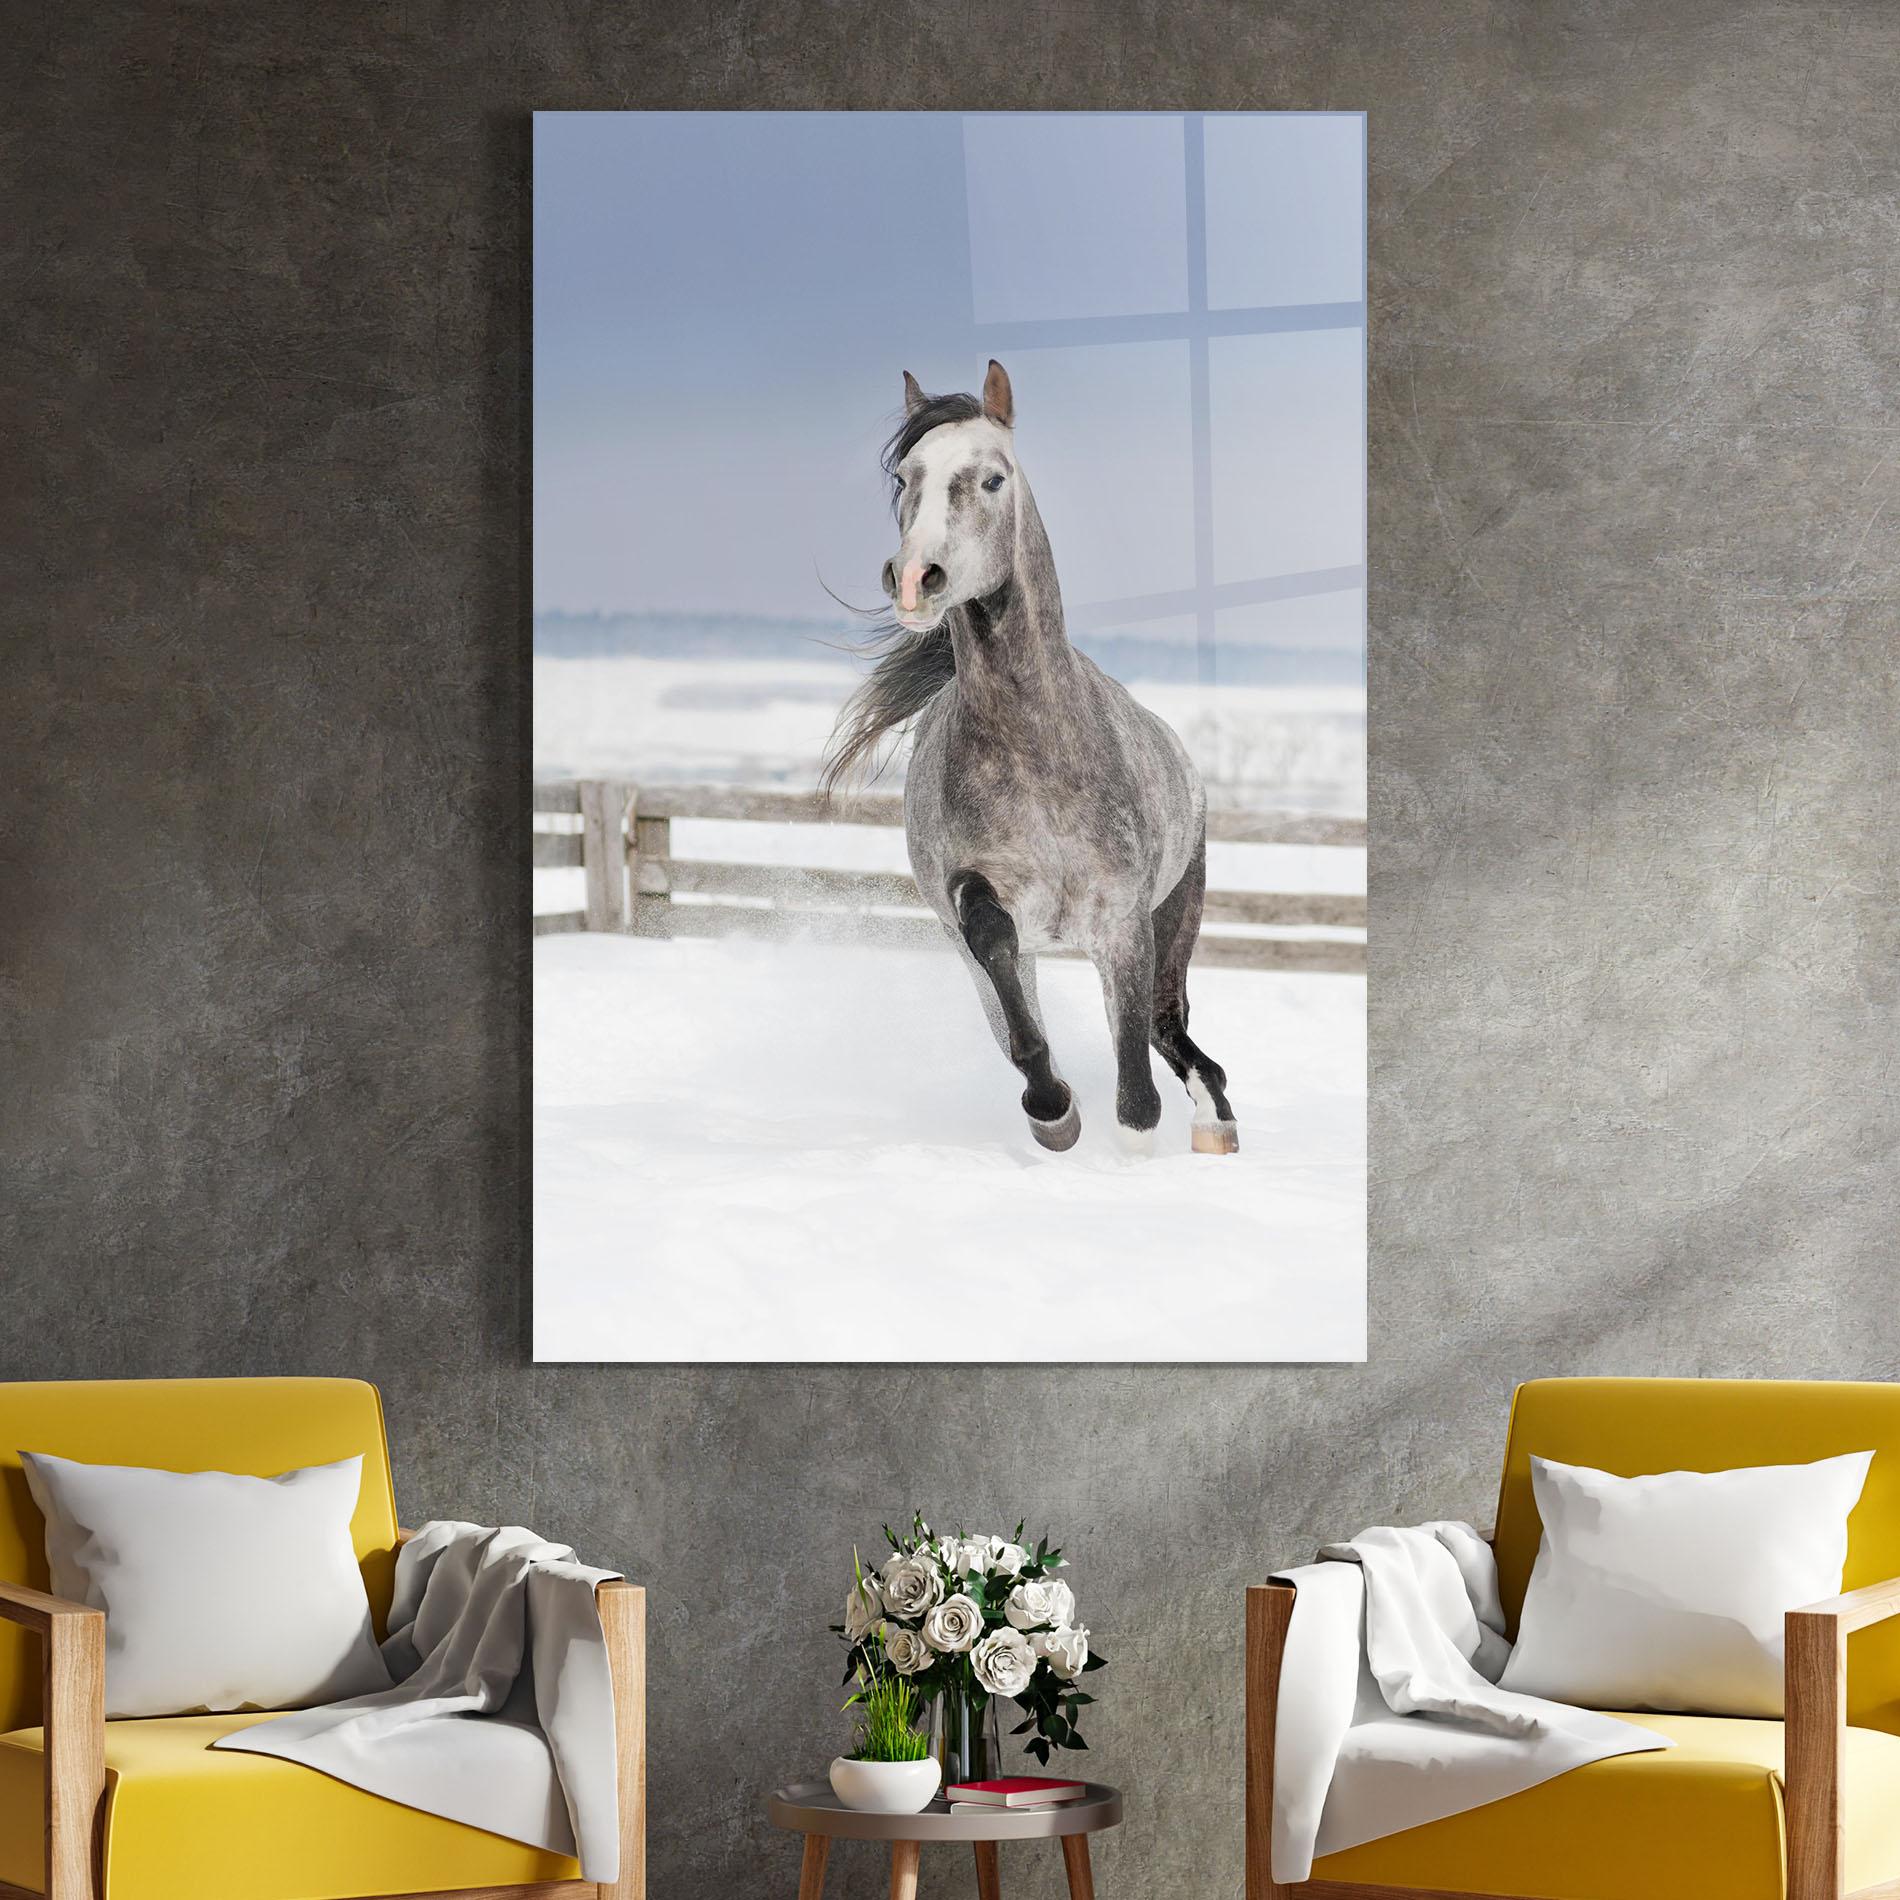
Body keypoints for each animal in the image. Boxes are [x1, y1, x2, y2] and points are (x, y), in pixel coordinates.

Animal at [822, 360, 1238, 1157]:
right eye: (905, 477)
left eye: (993, 478)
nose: (915, 578)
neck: (1038, 754)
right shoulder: (980, 912)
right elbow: (1006, 980)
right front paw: (1053, 1111)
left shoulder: (1124, 924)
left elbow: (1135, 1084)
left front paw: (1133, 1142)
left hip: (1176, 917)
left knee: (1168, 1028)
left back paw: (1214, 1124)